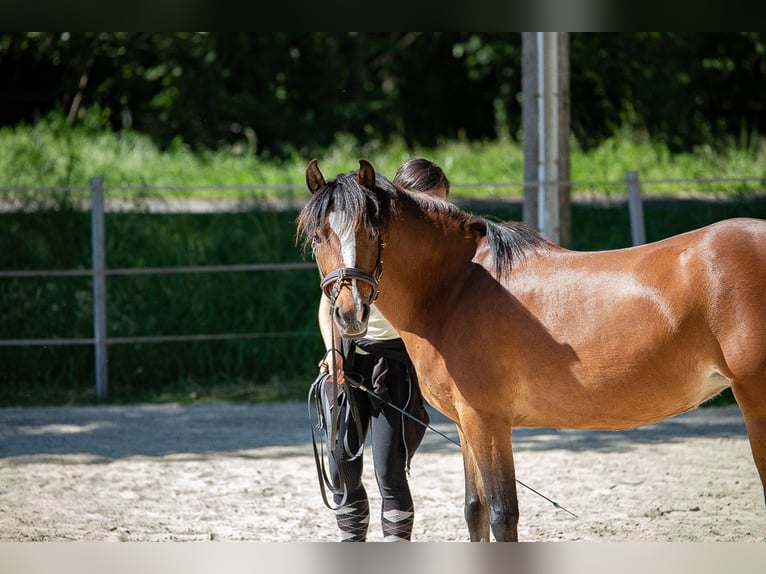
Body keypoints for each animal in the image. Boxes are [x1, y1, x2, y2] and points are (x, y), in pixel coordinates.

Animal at [298, 160, 766, 544]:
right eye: (319, 237)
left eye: (372, 233)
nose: (349, 313)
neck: (456, 288)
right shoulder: (468, 425)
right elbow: (475, 512)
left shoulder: (489, 423)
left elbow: (503, 515)